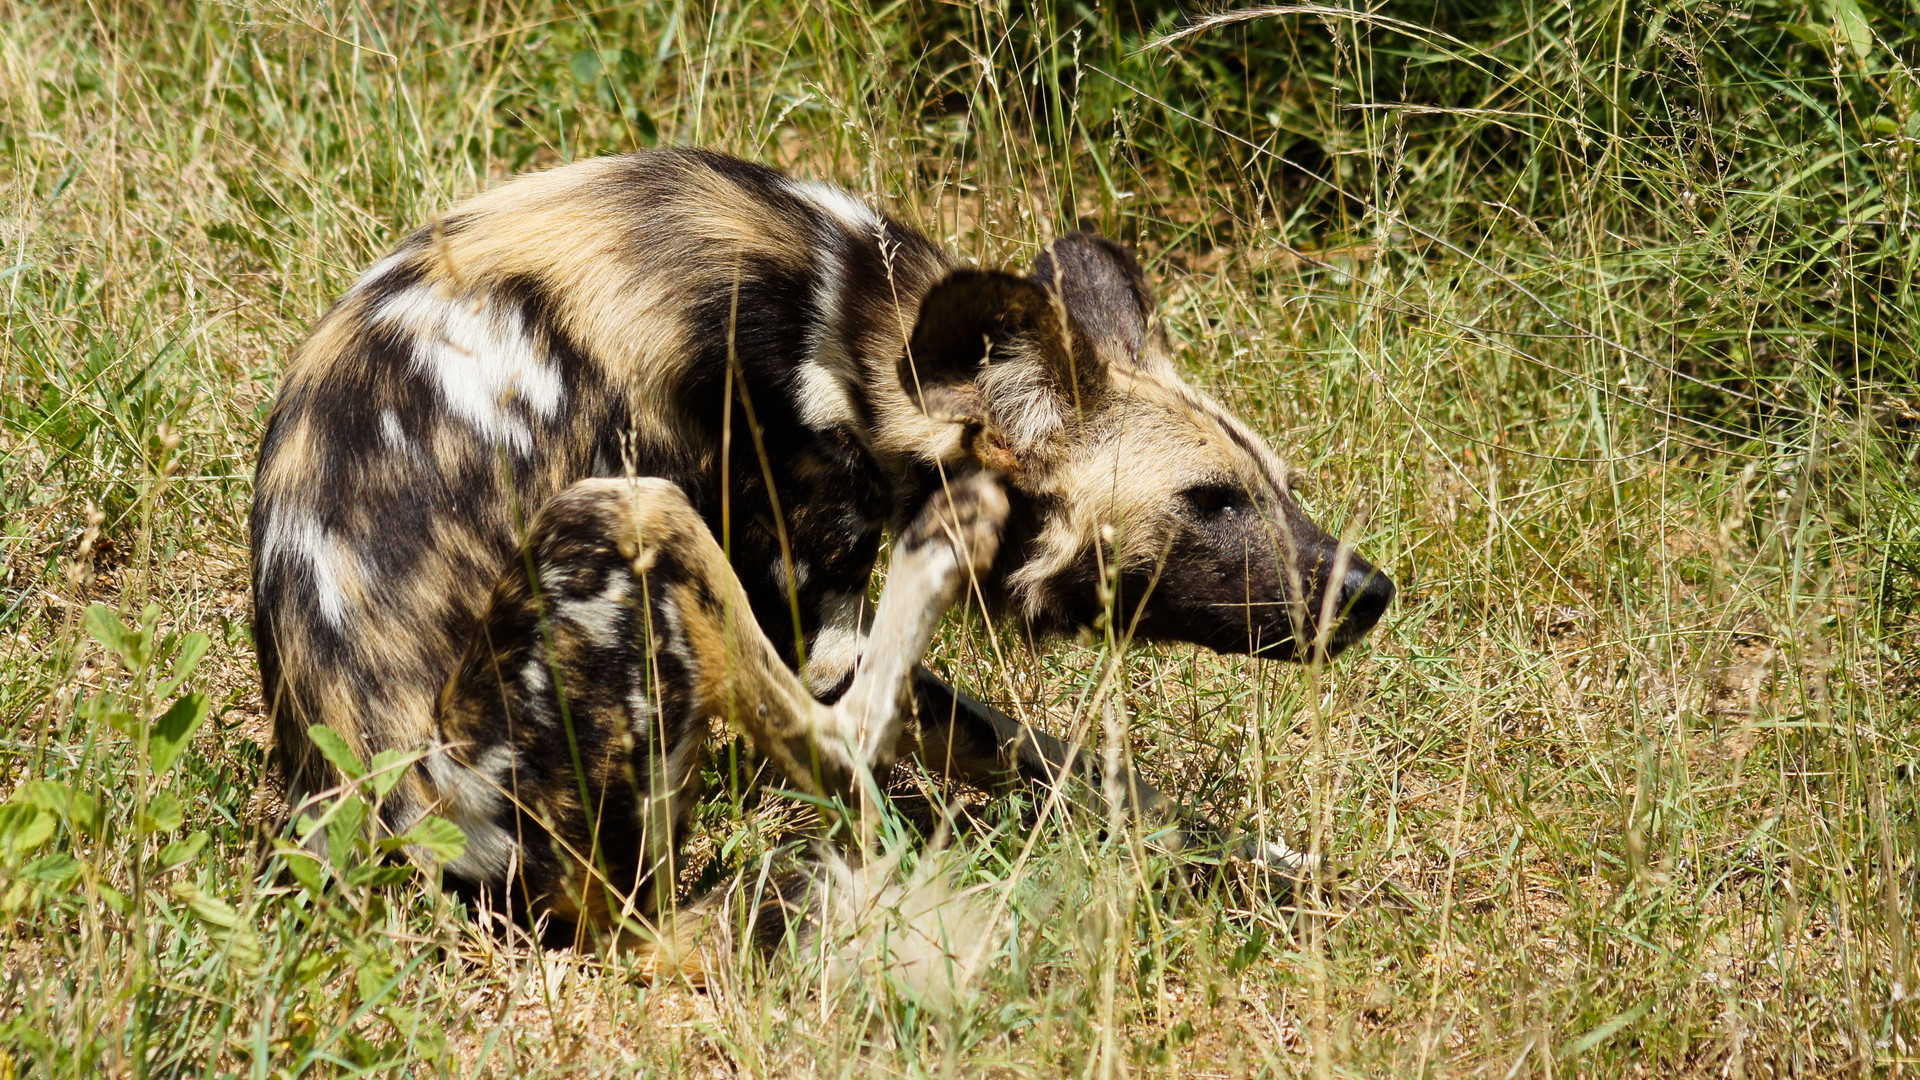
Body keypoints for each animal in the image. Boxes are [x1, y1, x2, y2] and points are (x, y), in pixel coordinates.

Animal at [251, 147, 1397, 953]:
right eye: (1209, 501)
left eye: (1279, 483)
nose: (1371, 591)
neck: (864, 335)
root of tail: (391, 820)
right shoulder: (820, 616)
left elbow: (1071, 761)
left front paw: (1264, 862)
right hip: (625, 517)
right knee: (828, 747)